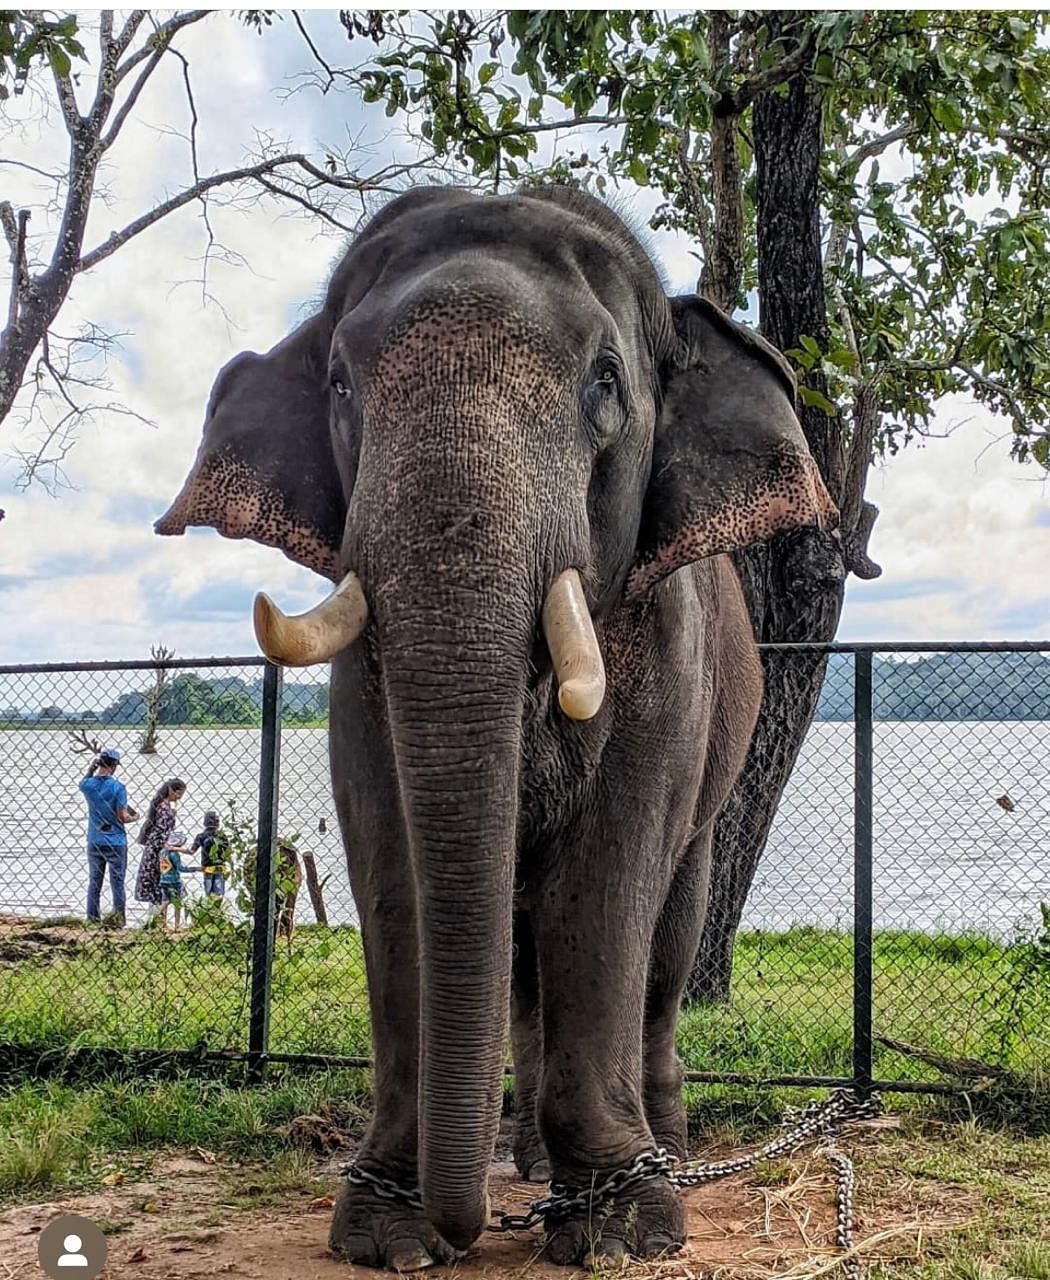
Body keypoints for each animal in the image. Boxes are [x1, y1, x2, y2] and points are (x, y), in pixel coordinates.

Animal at [155, 185, 834, 1274]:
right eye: (339, 382)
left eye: (606, 383)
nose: (462, 1227)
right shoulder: (360, 673)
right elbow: (390, 860)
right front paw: (387, 1233)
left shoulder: (670, 652)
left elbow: (607, 879)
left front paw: (619, 1229)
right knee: (517, 963)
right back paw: (526, 1159)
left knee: (669, 935)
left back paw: (661, 1148)